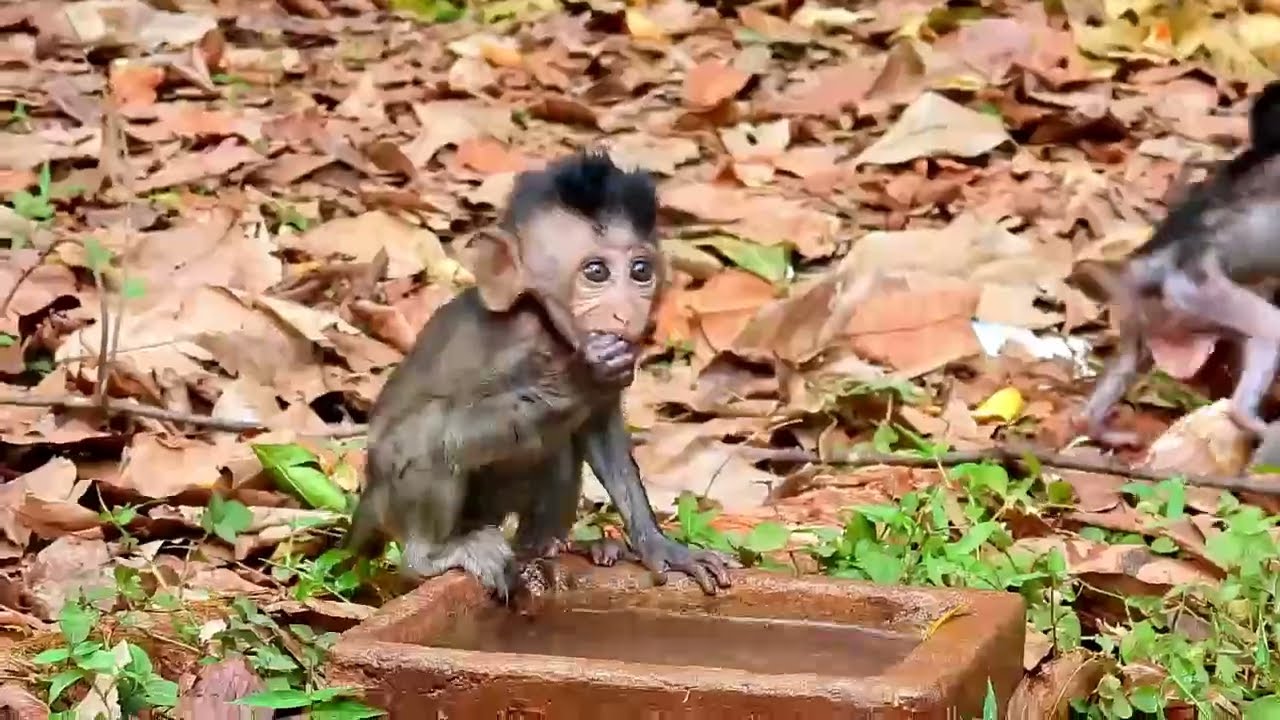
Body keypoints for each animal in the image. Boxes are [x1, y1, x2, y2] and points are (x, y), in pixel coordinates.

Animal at [343, 151, 733, 598]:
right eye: (596, 272)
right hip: (395, 499)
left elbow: (600, 432)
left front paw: (660, 547)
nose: (626, 313)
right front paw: (579, 377)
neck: (550, 327)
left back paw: (548, 547)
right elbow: (460, 425)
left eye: (640, 271)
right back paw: (429, 557)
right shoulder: (517, 341)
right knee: (428, 432)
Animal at [1079, 79, 1280, 448]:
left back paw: (1094, 423)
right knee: (1269, 326)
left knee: (1130, 358)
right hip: (1197, 291)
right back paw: (1245, 416)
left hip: (1151, 312)